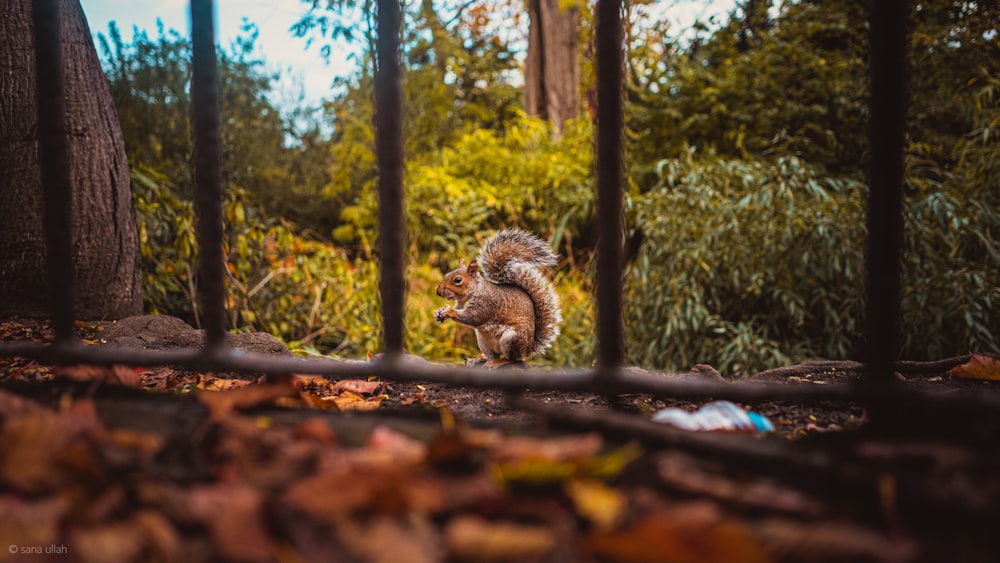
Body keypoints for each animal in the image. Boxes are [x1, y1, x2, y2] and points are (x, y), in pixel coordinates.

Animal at [434, 230, 564, 370]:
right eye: (446, 274)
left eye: (458, 280)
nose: (438, 292)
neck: (467, 296)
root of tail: (528, 349)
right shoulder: (460, 304)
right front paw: (439, 312)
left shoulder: (486, 303)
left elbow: (473, 317)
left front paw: (449, 312)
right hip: (483, 342)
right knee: (493, 355)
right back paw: (481, 358)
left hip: (511, 339)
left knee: (513, 359)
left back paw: (498, 362)